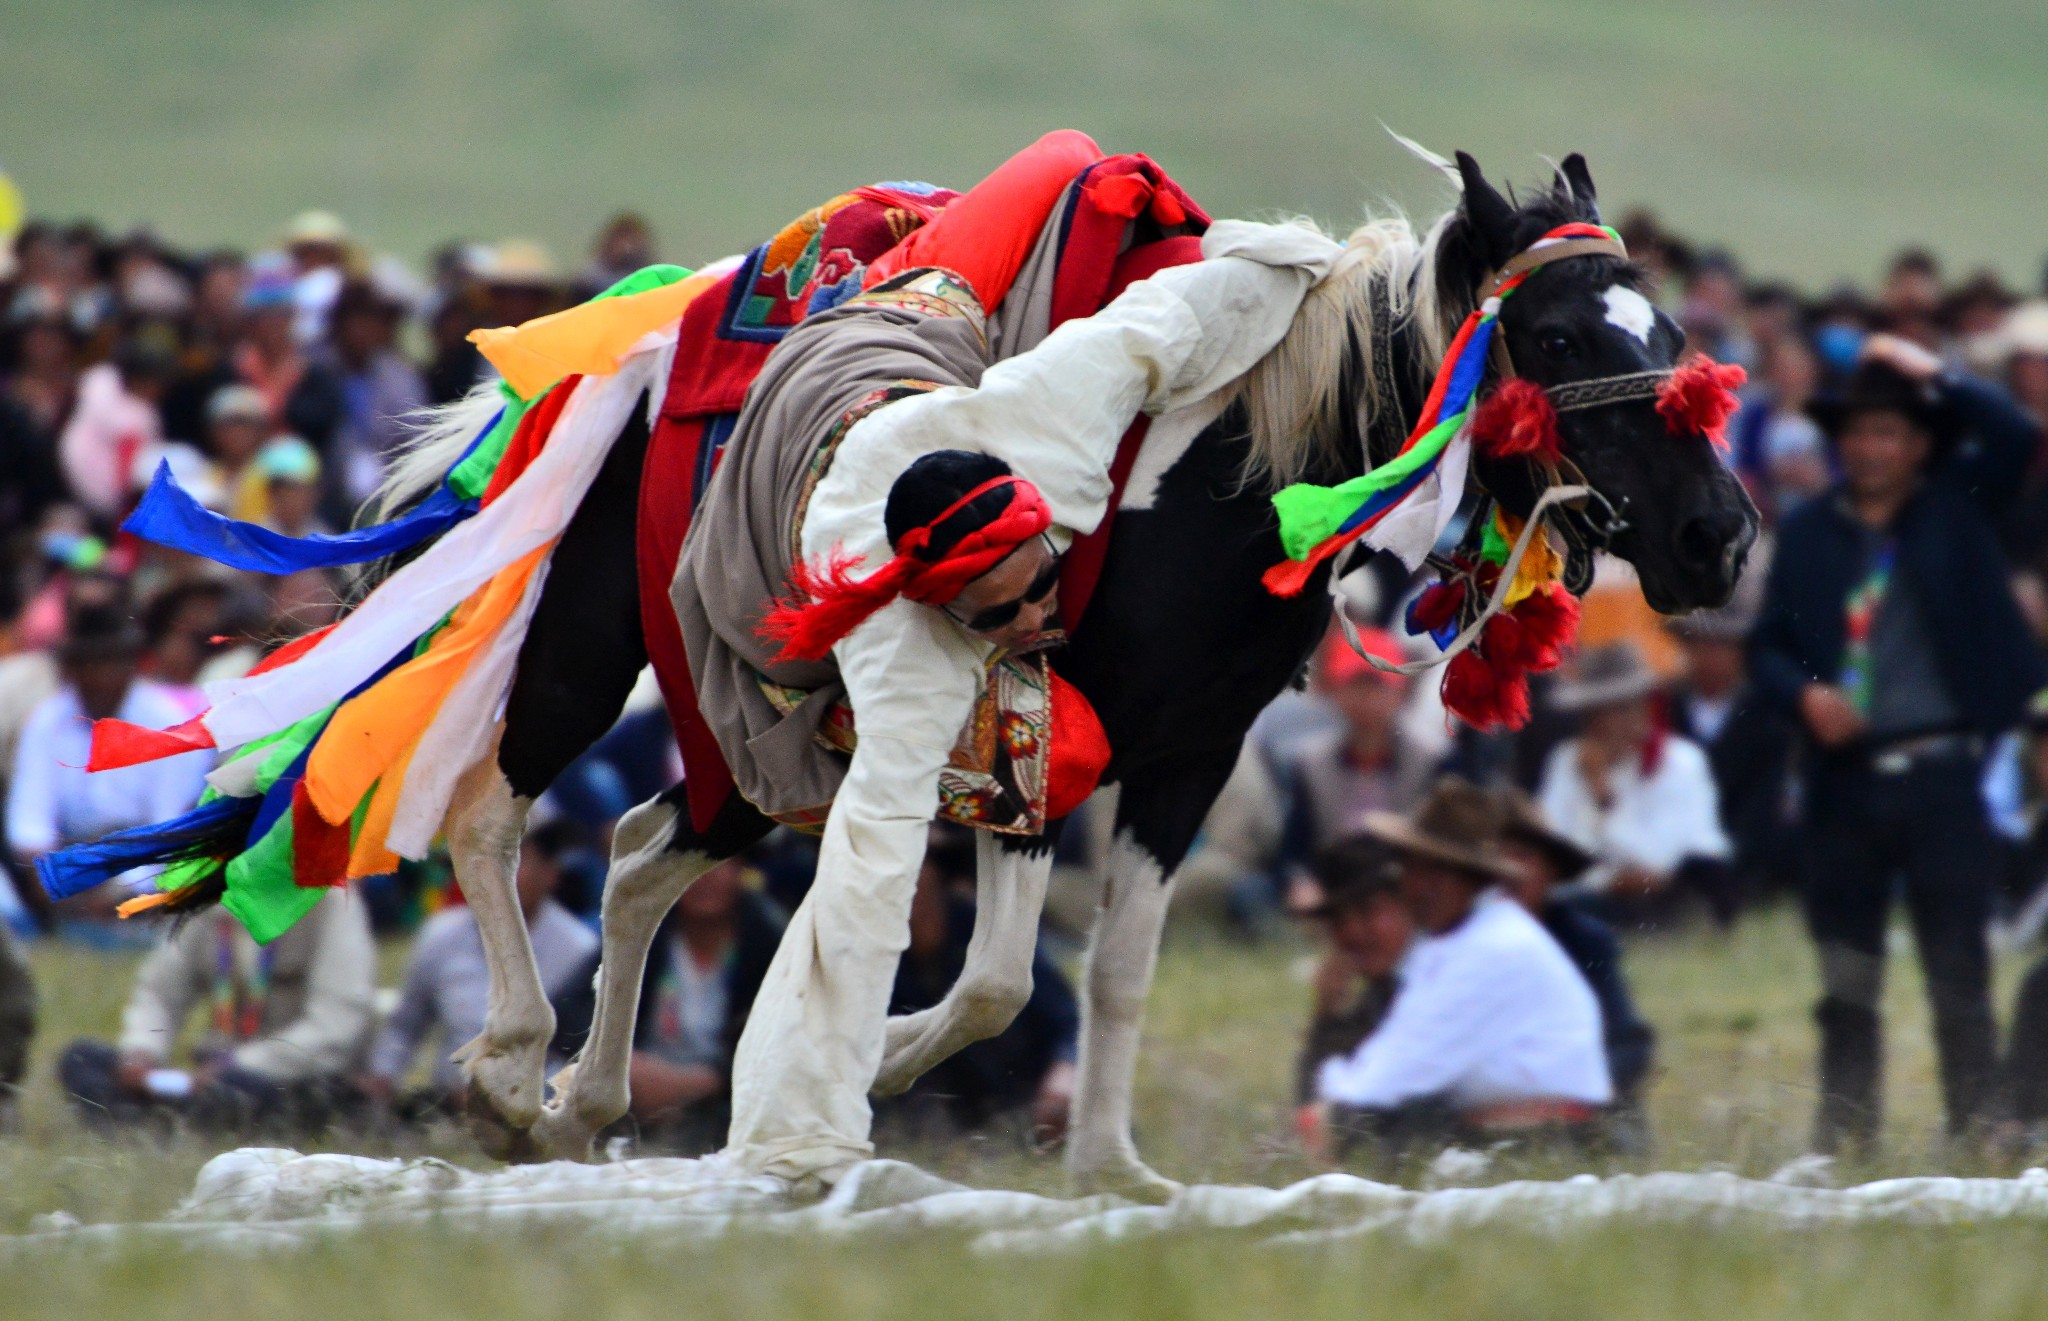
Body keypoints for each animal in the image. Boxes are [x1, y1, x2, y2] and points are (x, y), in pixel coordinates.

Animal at [360, 146, 1753, 1196]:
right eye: (1557, 336)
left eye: (1671, 327)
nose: (1718, 535)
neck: (1223, 477)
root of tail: (648, 340)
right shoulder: (1021, 735)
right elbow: (995, 980)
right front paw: (880, 1067)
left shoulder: (1190, 757)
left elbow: (1116, 970)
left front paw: (1107, 1167)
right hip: (599, 652)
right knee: (494, 814)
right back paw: (509, 1070)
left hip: (747, 747)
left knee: (640, 856)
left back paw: (578, 1102)